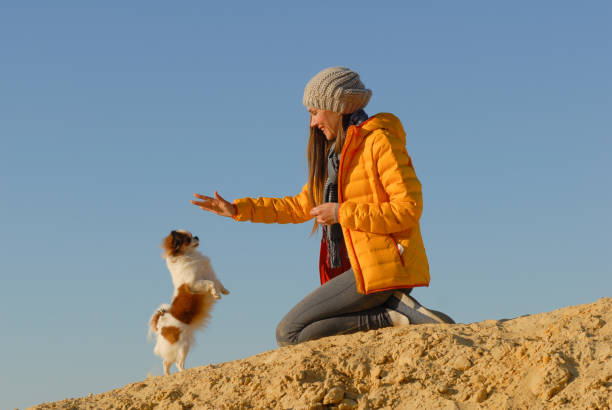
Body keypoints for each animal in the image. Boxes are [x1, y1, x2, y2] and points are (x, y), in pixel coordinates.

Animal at [148, 229, 230, 376]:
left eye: (191, 235)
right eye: (187, 239)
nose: (196, 237)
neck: (191, 255)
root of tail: (161, 324)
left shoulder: (210, 274)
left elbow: (218, 282)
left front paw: (225, 291)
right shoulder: (194, 284)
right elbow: (210, 283)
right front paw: (216, 294)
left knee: (166, 363)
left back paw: (168, 376)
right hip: (183, 346)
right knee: (178, 363)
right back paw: (184, 372)